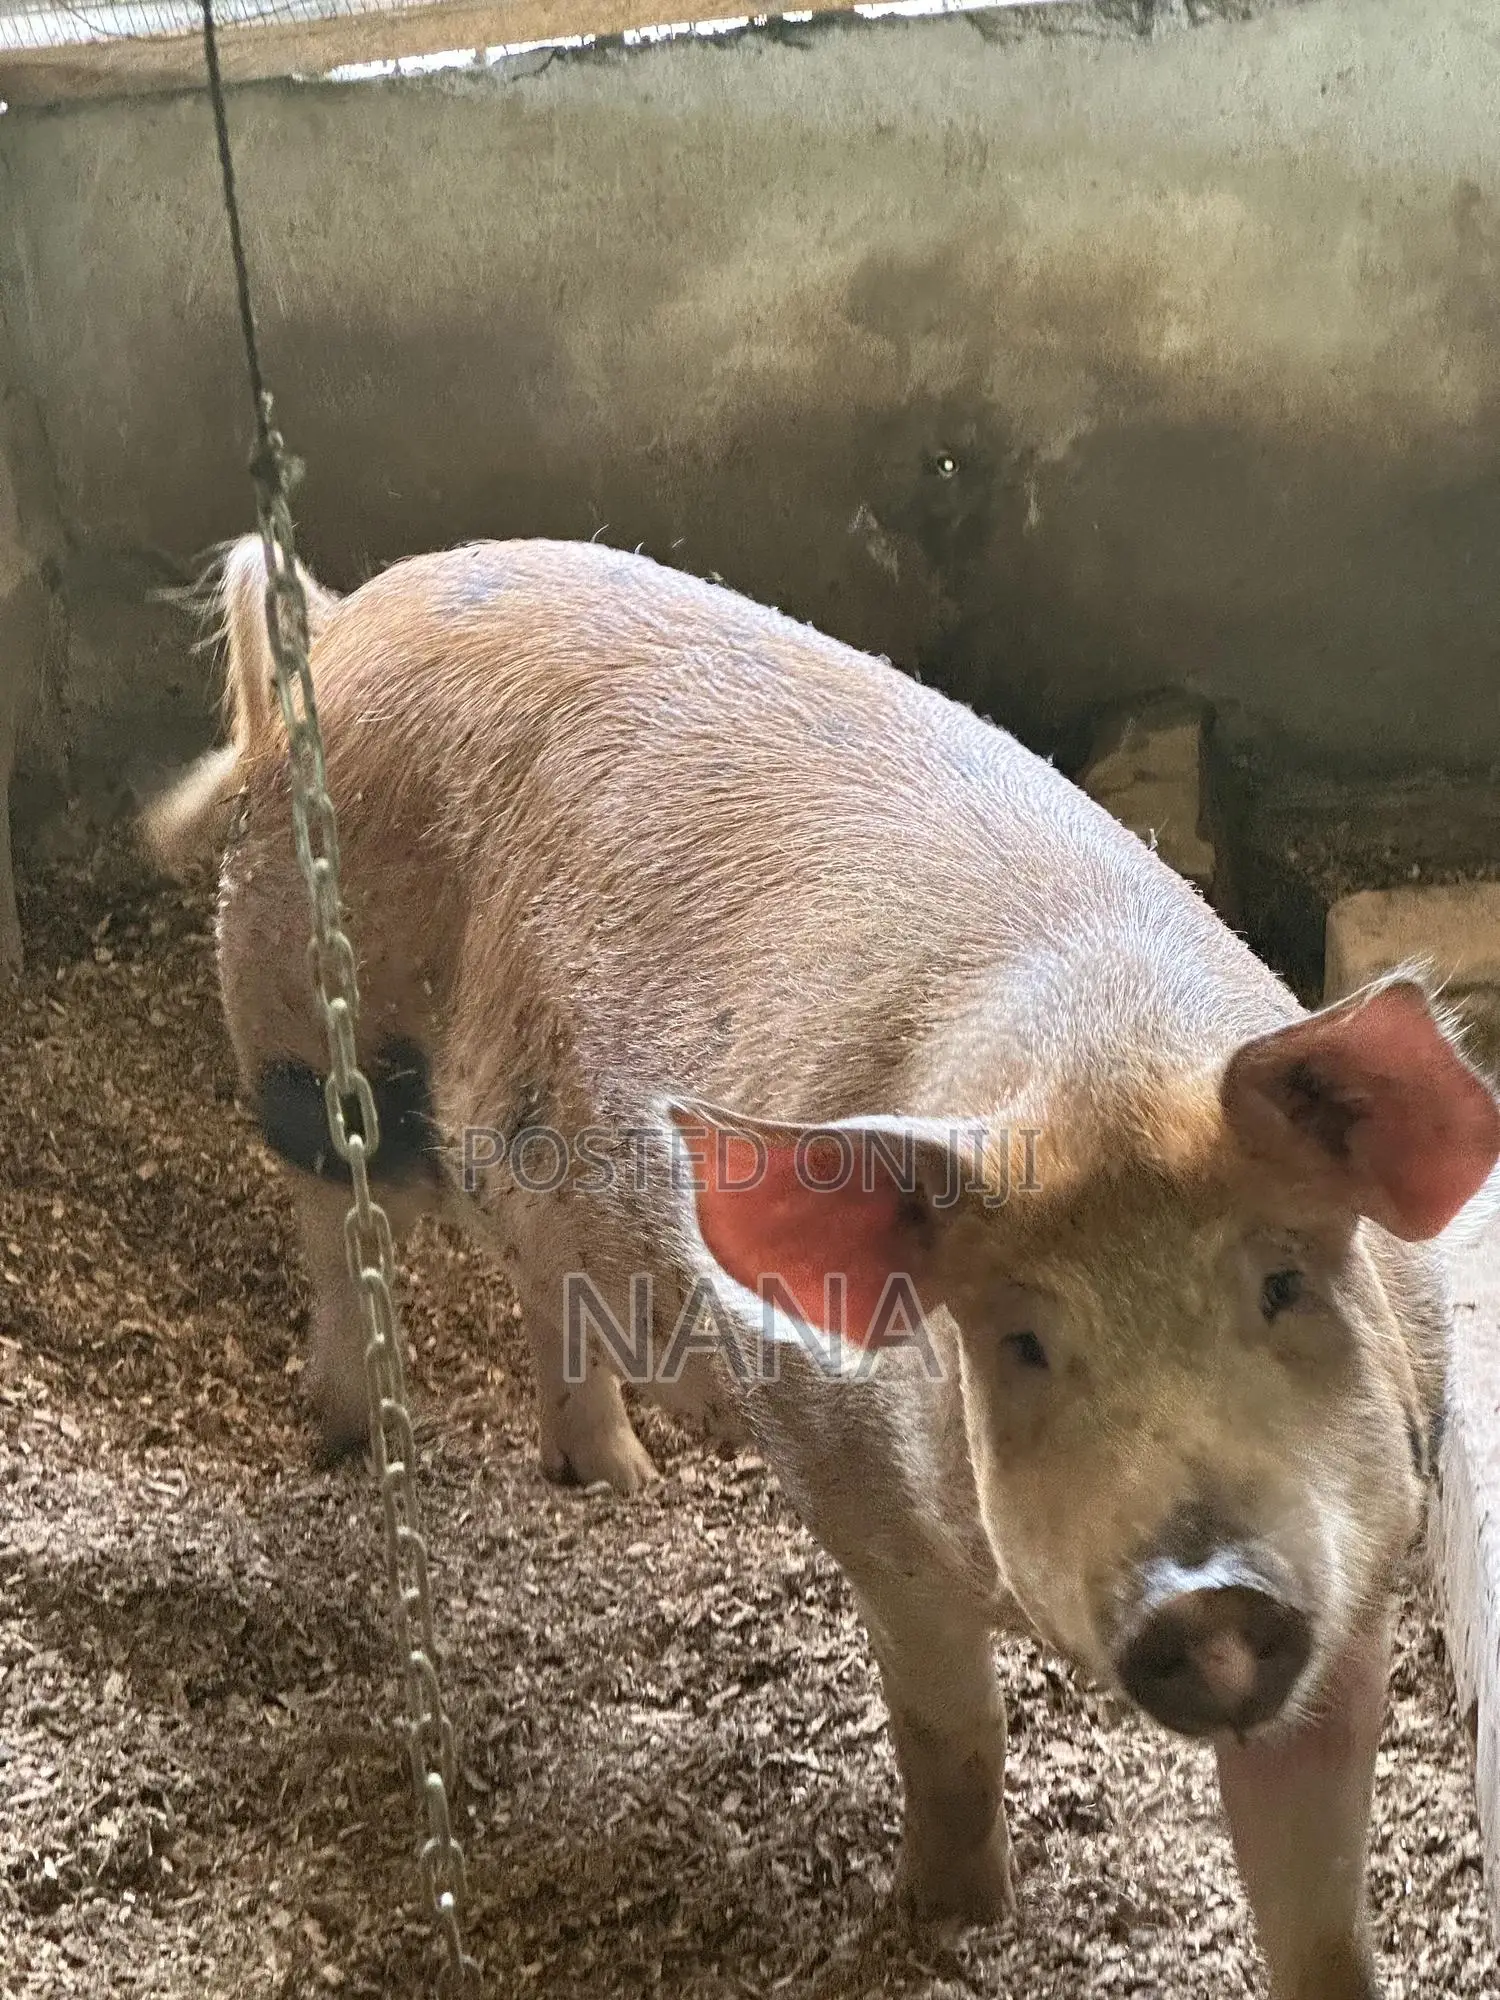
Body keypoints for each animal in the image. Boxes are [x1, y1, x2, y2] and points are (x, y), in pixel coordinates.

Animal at [142, 532, 1500, 2000]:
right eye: (1022, 1343)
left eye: (1283, 1286)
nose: (1208, 1592)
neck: (1098, 1060)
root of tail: (338, 622)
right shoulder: (861, 1493)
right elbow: (948, 1731)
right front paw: (950, 1920)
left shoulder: (1361, 1567)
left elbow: (1318, 1896)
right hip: (310, 1033)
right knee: (337, 1225)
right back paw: (345, 1434)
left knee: (547, 1277)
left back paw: (619, 1476)